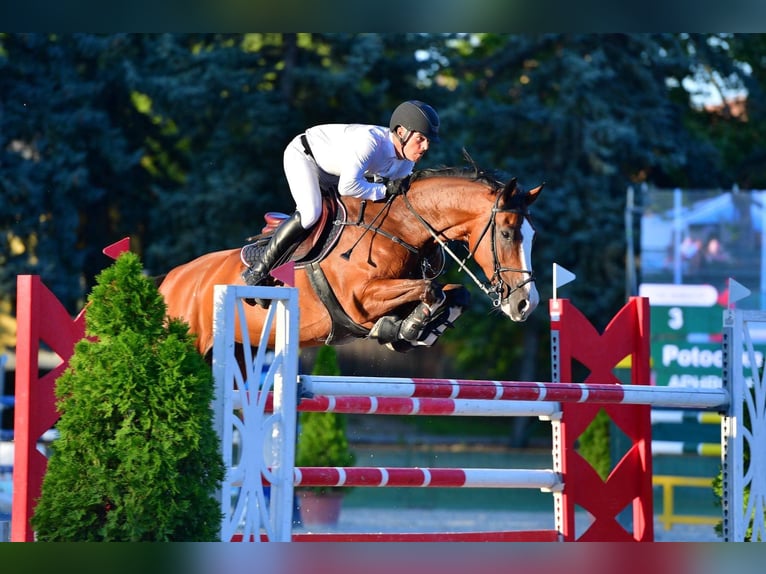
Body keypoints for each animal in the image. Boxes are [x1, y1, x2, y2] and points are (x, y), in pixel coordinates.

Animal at [156, 163, 544, 360]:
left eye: (533, 235)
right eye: (507, 233)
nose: (526, 304)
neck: (400, 226)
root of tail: (170, 280)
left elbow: (451, 292)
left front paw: (411, 330)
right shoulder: (360, 300)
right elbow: (431, 289)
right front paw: (405, 330)